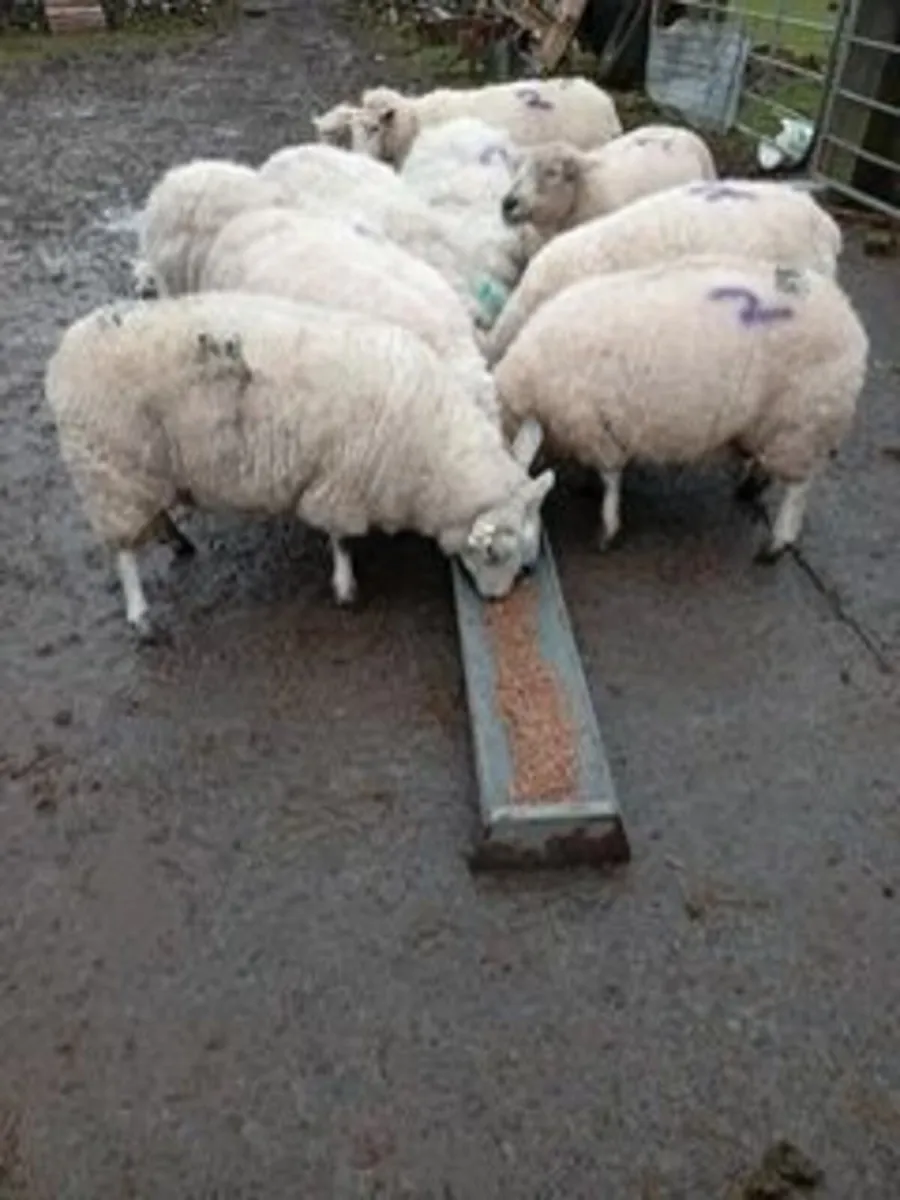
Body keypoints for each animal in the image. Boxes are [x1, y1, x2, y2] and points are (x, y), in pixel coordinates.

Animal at [45, 292, 555, 642]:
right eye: (496, 553)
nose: (497, 601)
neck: (433, 458)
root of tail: (64, 351)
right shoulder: (342, 482)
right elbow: (342, 540)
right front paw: (346, 589)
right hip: (108, 468)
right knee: (123, 552)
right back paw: (140, 615)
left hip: (136, 471)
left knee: (152, 515)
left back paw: (177, 539)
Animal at [493, 254, 868, 560]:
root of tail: (847, 312)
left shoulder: (592, 427)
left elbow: (611, 478)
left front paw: (608, 528)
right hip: (778, 423)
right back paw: (751, 485)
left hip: (805, 418)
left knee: (798, 488)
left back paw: (777, 543)